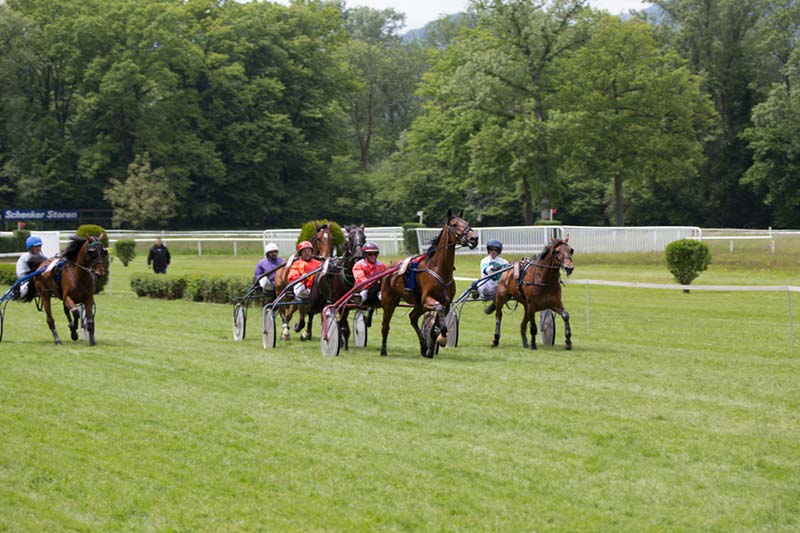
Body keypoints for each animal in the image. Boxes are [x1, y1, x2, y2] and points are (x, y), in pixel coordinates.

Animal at [380, 209, 478, 357]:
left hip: (419, 305)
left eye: (467, 223)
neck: (439, 269)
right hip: (389, 302)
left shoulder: (445, 303)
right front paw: (443, 337)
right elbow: (438, 309)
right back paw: (383, 350)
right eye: (454, 224)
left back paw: (423, 346)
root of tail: (391, 267)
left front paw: (431, 349)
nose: (474, 239)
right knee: (385, 326)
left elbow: (436, 325)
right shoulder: (427, 299)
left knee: (412, 317)